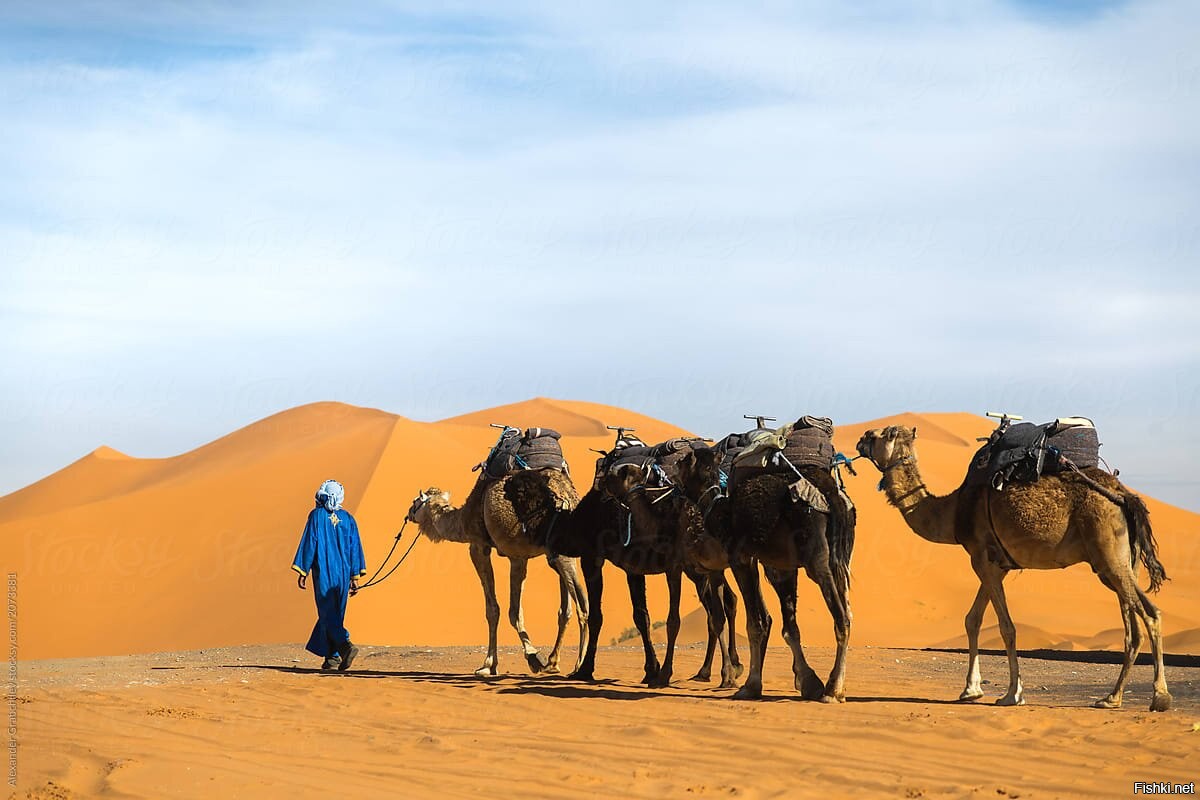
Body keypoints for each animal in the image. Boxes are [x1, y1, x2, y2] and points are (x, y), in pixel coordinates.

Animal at [405, 470, 588, 681]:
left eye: (416, 501)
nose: (408, 513)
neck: (463, 519)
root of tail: (567, 497)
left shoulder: (487, 548)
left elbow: (500, 611)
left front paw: (502, 663)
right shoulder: (519, 557)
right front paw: (540, 661)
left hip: (557, 550)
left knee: (582, 605)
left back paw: (579, 666)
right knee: (568, 608)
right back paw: (555, 662)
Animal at [499, 470, 739, 690]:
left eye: (522, 489)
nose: (507, 482)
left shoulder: (592, 557)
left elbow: (597, 616)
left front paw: (585, 670)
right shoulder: (633, 567)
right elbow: (641, 617)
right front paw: (651, 670)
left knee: (715, 609)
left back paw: (719, 672)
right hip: (698, 568)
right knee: (724, 604)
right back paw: (715, 670)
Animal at [676, 448, 854, 705]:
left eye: (684, 462)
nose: (675, 470)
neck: (719, 509)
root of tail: (829, 491)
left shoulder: (741, 559)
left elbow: (756, 622)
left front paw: (750, 686)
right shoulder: (780, 566)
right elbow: (789, 627)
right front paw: (808, 682)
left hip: (817, 558)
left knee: (841, 618)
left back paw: (833, 690)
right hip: (841, 558)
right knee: (848, 611)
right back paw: (835, 686)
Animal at [854, 424, 1171, 714]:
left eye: (880, 435)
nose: (860, 439)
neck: (953, 512)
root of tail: (1124, 496)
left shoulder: (982, 560)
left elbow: (1006, 627)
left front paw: (1011, 695)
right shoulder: (994, 564)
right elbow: (972, 619)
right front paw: (971, 689)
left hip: (1109, 555)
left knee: (1150, 614)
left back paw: (1159, 698)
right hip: (1121, 563)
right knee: (1132, 629)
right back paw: (1111, 698)